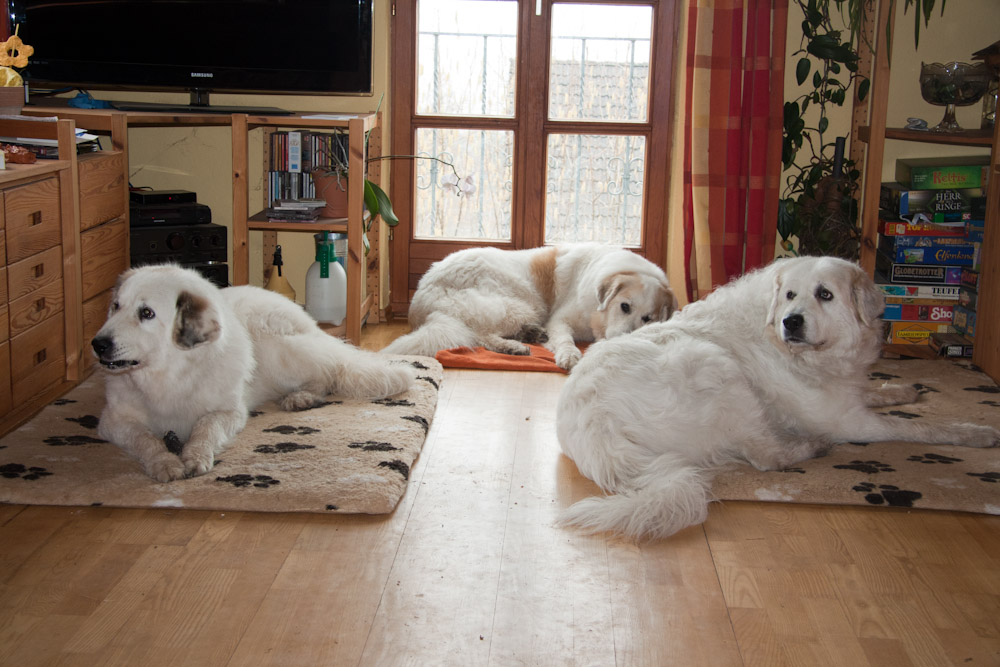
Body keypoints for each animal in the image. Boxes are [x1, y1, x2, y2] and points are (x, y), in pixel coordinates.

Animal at [88, 268, 412, 486]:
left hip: (275, 348)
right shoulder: (114, 420)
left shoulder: (228, 412)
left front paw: (195, 457)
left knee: (329, 371)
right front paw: (165, 463)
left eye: (147, 313)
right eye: (116, 306)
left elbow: (205, 427)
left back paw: (301, 397)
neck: (170, 374)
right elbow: (146, 439)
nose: (98, 344)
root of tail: (307, 318)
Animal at [386, 244, 676, 370]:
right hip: (518, 304)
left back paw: (526, 338)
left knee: (479, 334)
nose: (622, 340)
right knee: (479, 335)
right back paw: (515, 345)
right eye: (624, 306)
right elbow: (565, 339)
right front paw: (569, 355)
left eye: (647, 318)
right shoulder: (559, 320)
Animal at [560, 258, 996, 544]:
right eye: (789, 296)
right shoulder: (848, 421)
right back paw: (811, 447)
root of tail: (595, 434)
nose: (792, 321)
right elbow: (921, 427)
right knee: (765, 457)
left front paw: (905, 391)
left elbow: (877, 391)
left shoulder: (847, 394)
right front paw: (977, 432)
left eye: (825, 295)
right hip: (718, 368)